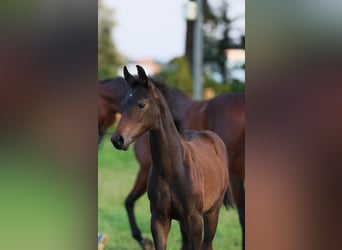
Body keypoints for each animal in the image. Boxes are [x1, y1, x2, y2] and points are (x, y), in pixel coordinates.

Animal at [97, 73, 244, 249]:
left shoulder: (194, 220)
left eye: (141, 104)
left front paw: (144, 241)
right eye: (123, 103)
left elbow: (129, 202)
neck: (173, 167)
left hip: (212, 212)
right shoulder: (159, 220)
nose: (117, 139)